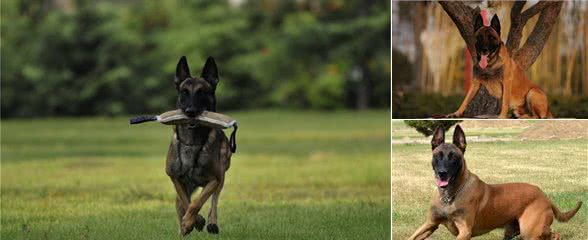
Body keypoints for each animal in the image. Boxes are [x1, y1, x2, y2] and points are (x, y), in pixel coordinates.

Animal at [167, 55, 233, 234]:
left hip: (221, 175)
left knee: (214, 200)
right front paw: (191, 222)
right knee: (180, 203)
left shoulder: (214, 180)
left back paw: (211, 223)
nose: (190, 111)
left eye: (201, 92)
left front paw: (194, 221)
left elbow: (198, 202)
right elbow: (186, 202)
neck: (192, 142)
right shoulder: (175, 178)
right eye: (184, 92)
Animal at [408, 125, 584, 240]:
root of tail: (545, 196)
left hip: (530, 230)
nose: (442, 173)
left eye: (454, 157)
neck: (450, 196)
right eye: (437, 156)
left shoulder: (465, 231)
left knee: (555, 235)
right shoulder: (430, 224)